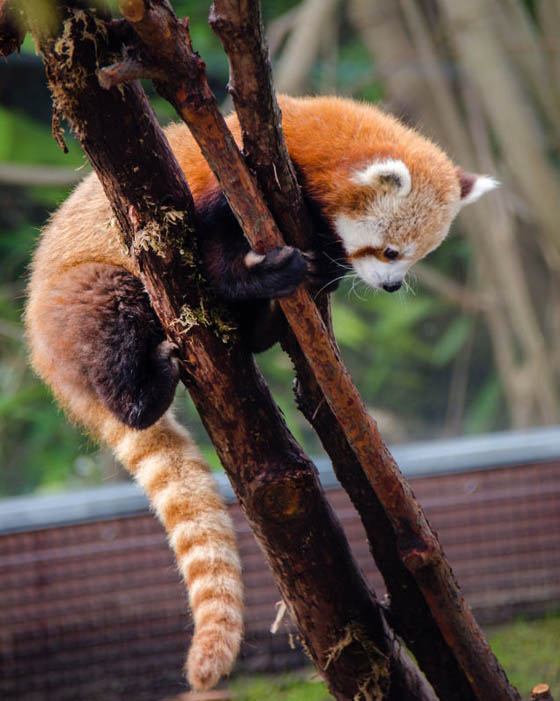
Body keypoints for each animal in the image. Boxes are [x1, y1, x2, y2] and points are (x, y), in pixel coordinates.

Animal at [25, 95, 498, 692]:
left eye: (415, 258)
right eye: (390, 252)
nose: (391, 287)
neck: (298, 142)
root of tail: (49, 362)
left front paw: (309, 285)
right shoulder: (220, 189)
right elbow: (212, 258)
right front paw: (266, 274)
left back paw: (261, 328)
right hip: (87, 295)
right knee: (112, 317)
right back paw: (144, 392)